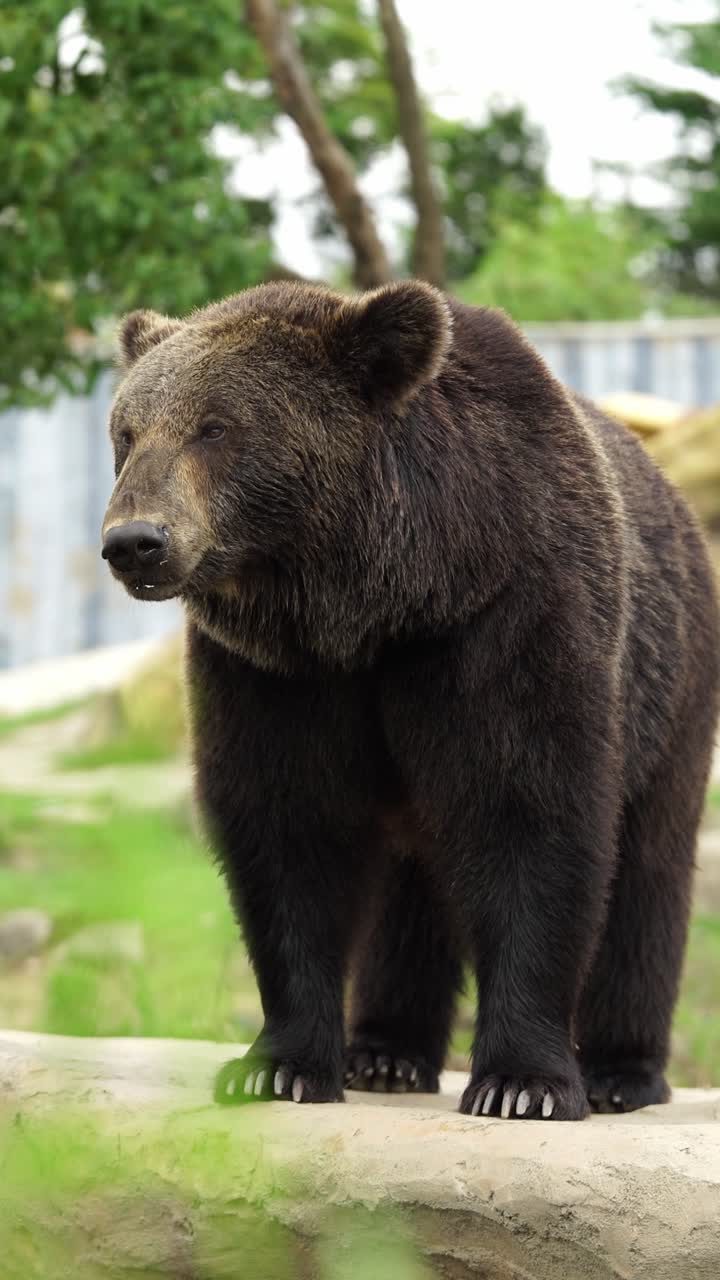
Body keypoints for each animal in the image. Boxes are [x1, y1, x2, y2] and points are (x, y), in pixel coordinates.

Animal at [101, 281, 720, 1120]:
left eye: (216, 426)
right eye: (127, 433)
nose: (134, 541)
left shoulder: (507, 614)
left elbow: (531, 812)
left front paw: (522, 1083)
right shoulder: (274, 673)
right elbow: (286, 830)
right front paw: (278, 1066)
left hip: (672, 684)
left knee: (648, 875)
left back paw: (622, 1071)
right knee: (412, 887)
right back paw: (386, 1052)